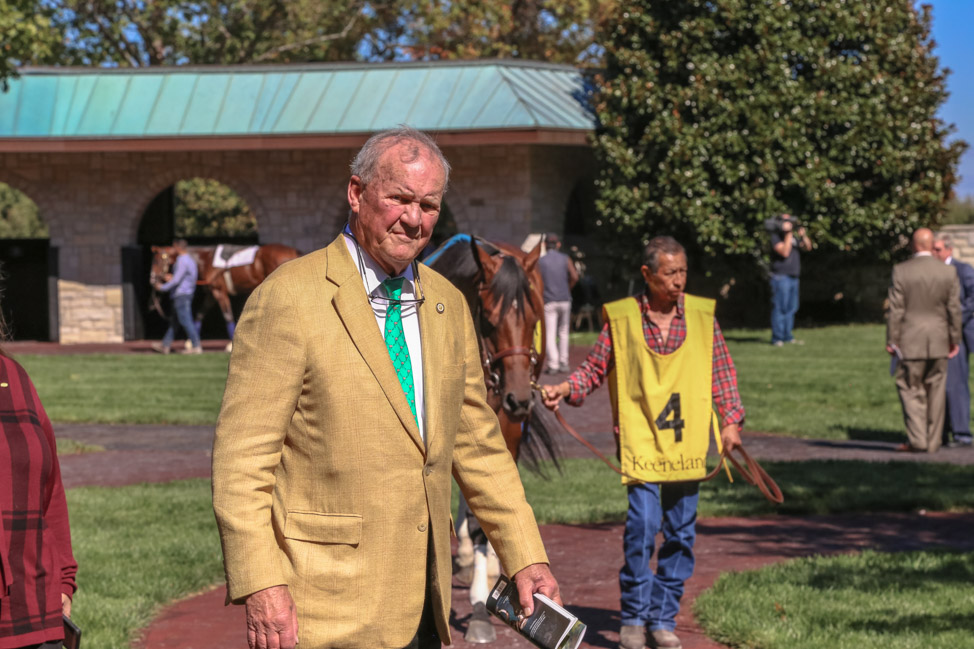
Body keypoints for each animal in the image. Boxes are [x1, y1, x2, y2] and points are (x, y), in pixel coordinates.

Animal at [149, 243, 300, 344]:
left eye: (158, 260)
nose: (152, 278)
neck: (207, 259)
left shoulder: (219, 292)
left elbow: (227, 316)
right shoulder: (211, 294)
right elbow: (200, 314)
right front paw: (190, 343)